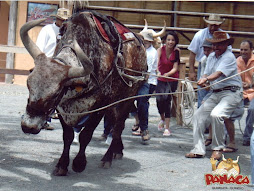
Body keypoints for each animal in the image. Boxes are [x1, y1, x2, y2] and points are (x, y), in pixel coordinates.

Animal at [20, 11, 147, 176]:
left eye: (55, 94)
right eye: (28, 85)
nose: (28, 126)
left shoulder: (100, 106)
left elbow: (86, 135)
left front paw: (79, 163)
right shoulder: (62, 107)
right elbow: (68, 136)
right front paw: (62, 165)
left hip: (128, 98)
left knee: (119, 126)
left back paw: (108, 157)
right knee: (116, 123)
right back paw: (118, 150)